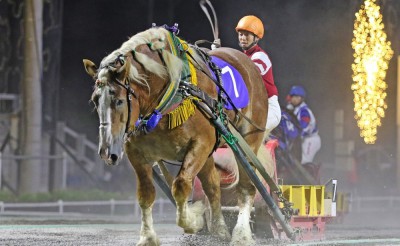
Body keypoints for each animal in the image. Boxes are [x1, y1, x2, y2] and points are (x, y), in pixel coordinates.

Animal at [84, 26, 272, 245]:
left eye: (120, 101)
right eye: (95, 100)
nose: (107, 152)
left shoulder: (200, 143)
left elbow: (181, 186)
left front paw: (193, 221)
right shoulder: (136, 152)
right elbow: (146, 194)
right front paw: (148, 236)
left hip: (248, 139)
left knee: (246, 187)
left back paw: (241, 234)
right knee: (212, 186)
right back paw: (219, 230)